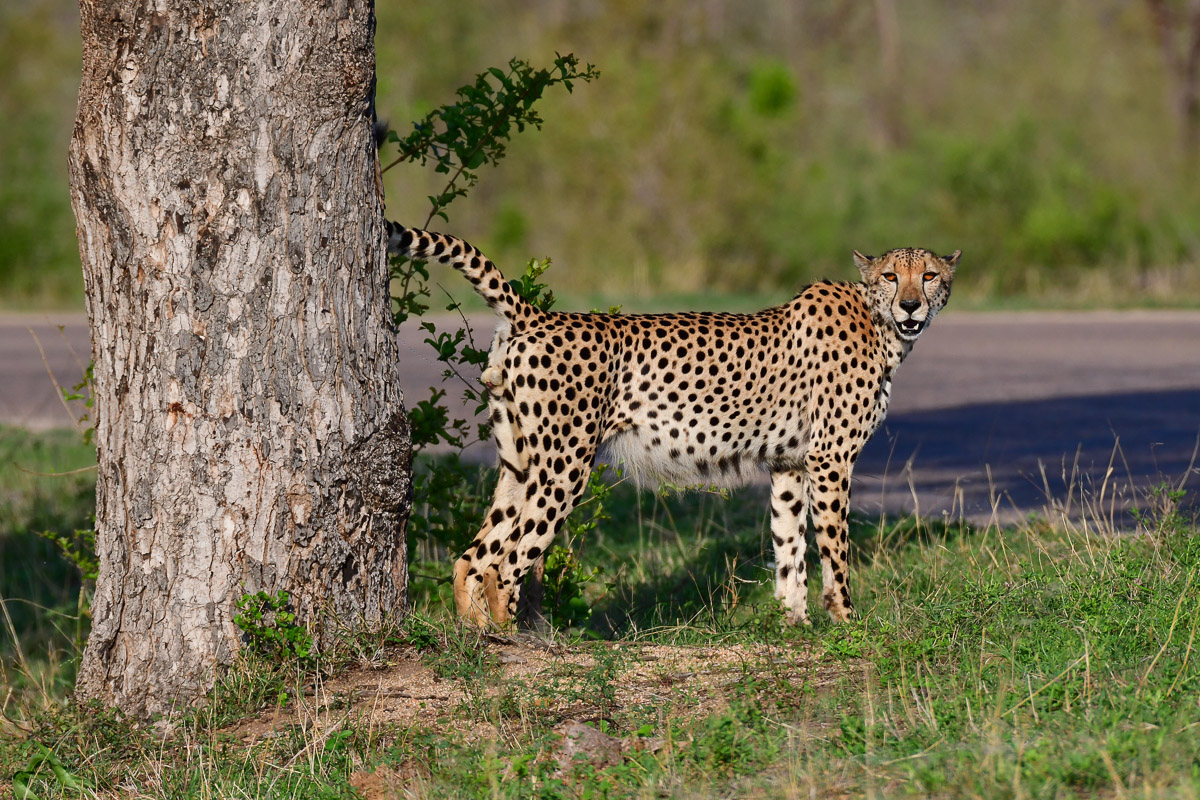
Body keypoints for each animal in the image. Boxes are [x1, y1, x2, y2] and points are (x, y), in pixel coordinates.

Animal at [387, 221, 959, 627]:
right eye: (891, 276)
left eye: (929, 275)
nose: (912, 305)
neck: (881, 325)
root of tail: (538, 315)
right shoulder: (830, 460)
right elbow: (834, 549)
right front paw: (845, 620)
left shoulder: (790, 464)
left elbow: (788, 545)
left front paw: (792, 622)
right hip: (565, 466)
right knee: (504, 562)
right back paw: (514, 642)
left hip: (519, 463)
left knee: (471, 557)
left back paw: (477, 638)